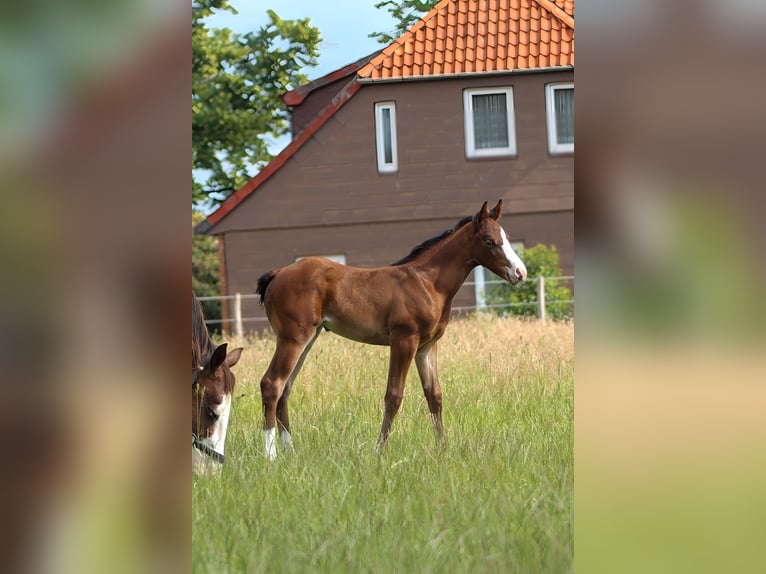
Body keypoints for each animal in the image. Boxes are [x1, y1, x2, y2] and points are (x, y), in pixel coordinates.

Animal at [255, 200, 527, 460]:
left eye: (507, 237)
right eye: (489, 241)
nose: (520, 272)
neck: (427, 283)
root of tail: (277, 274)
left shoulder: (427, 346)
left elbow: (434, 396)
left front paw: (444, 449)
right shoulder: (404, 340)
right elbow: (393, 396)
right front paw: (380, 451)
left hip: (308, 338)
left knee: (285, 388)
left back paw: (290, 451)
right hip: (293, 338)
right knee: (272, 383)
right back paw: (270, 455)